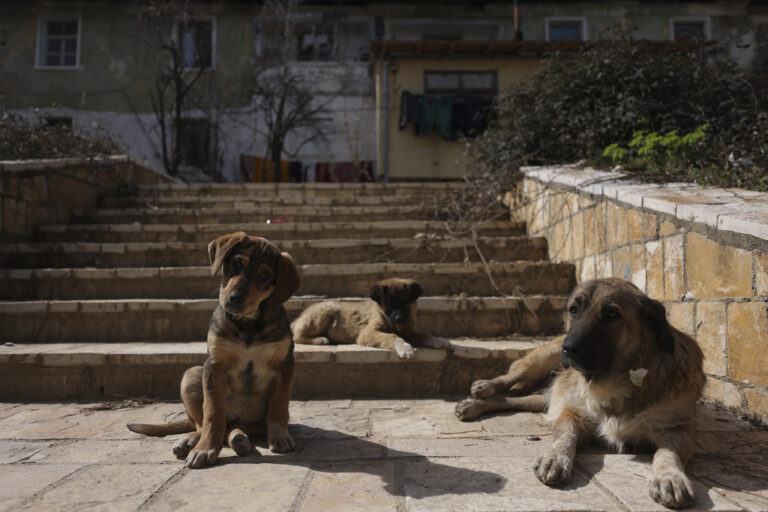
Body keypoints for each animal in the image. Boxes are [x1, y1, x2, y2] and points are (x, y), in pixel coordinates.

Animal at [127, 232, 298, 468]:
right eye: (237, 263)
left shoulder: (284, 364)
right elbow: (213, 414)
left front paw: (280, 437)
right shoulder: (215, 366)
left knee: (238, 427)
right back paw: (192, 441)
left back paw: (239, 438)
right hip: (191, 375)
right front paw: (206, 448)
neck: (249, 324)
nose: (235, 298)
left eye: (264, 276)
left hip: (255, 420)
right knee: (204, 424)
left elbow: (279, 405)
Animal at [292, 278, 450, 358]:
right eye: (388, 303)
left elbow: (425, 334)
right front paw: (404, 348)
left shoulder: (409, 332)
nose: (398, 318)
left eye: (405, 301)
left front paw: (439, 340)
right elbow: (392, 336)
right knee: (296, 336)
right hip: (325, 310)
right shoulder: (368, 333)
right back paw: (320, 339)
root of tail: (298, 318)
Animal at [456, 278, 704, 510]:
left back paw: (474, 405)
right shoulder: (572, 413)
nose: (568, 349)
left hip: (544, 396)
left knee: (513, 400)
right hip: (541, 359)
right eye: (573, 310)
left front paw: (670, 478)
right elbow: (564, 437)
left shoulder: (677, 429)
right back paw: (482, 389)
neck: (614, 384)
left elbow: (666, 454)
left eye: (611, 314)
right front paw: (555, 458)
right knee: (511, 377)